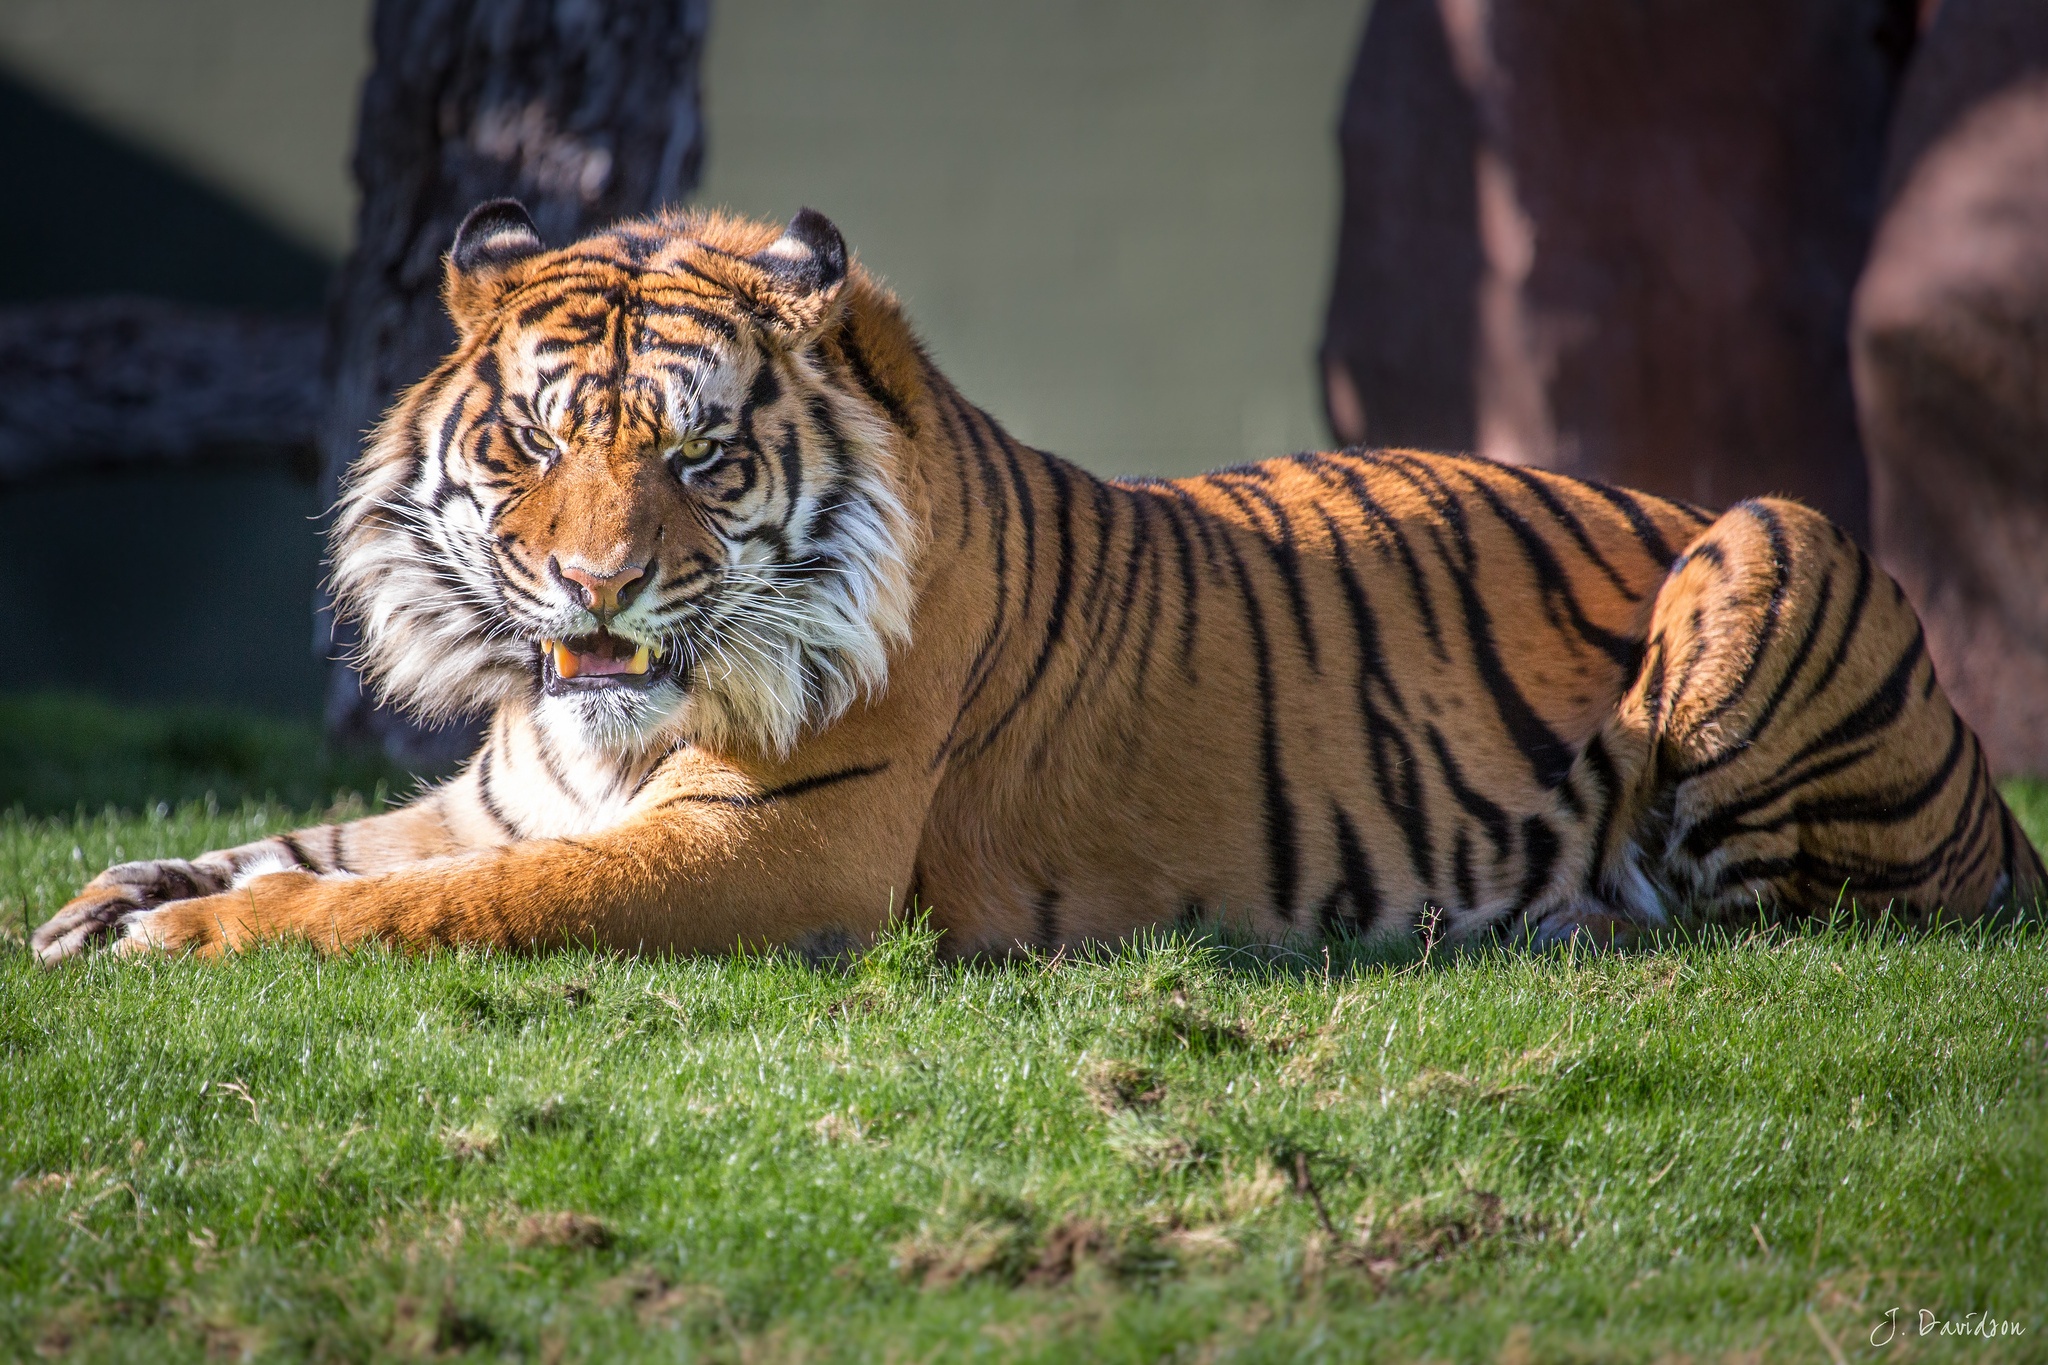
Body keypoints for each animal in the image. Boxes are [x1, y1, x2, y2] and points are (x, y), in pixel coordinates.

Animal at [28, 205, 2031, 970]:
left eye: (698, 456)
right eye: (528, 447)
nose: (595, 586)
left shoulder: (777, 850)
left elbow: (443, 905)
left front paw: (187, 939)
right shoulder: (502, 790)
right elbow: (326, 843)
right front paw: (109, 897)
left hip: (1767, 537)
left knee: (1788, 914)